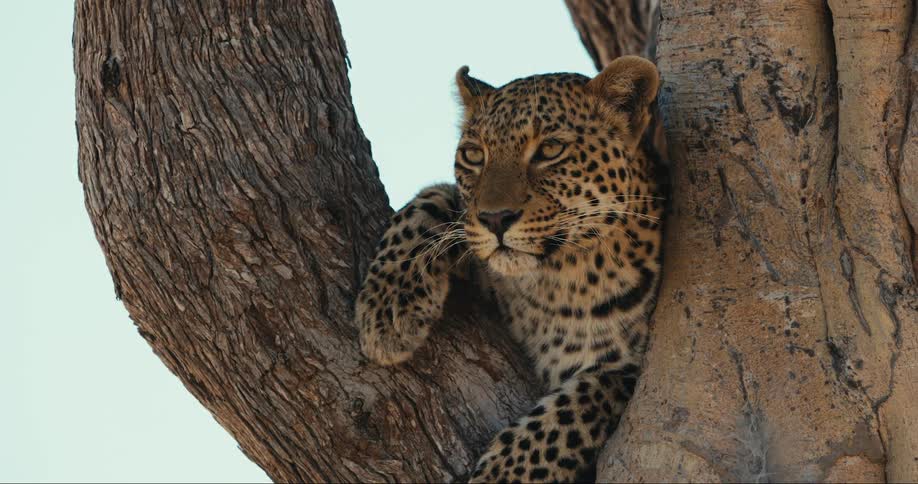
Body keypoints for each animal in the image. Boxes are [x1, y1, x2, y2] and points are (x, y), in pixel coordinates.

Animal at [355, 56, 665, 483]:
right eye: (474, 155)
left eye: (550, 149)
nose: (495, 218)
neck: (553, 280)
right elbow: (430, 200)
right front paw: (386, 313)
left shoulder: (628, 371)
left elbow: (569, 412)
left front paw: (501, 475)